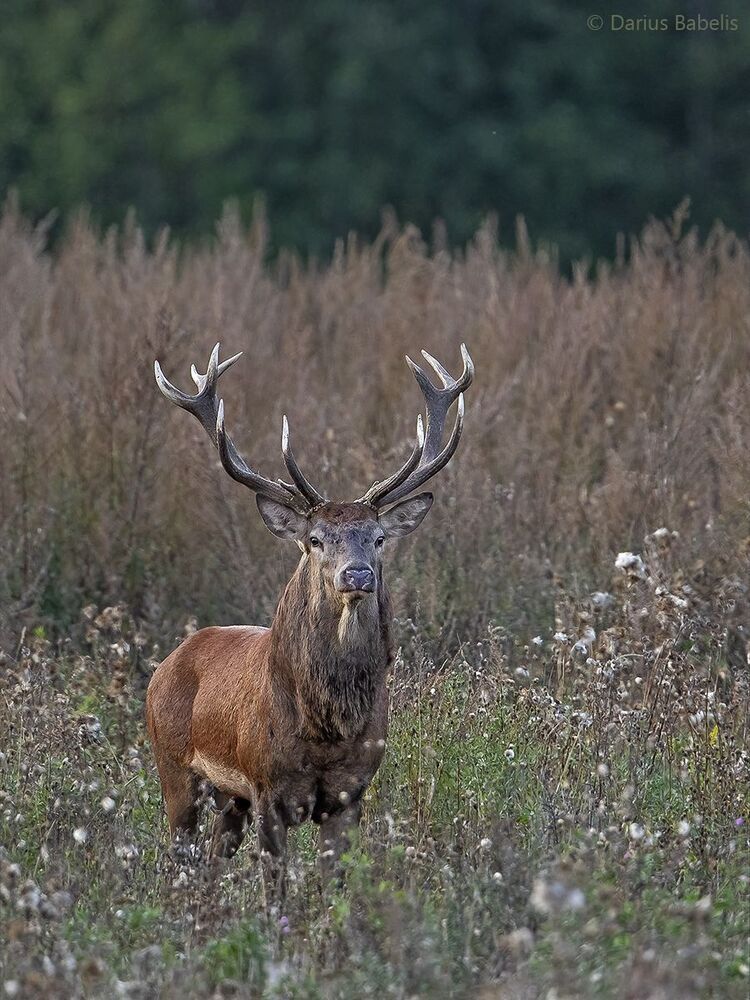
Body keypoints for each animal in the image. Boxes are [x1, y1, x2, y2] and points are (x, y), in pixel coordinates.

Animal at [146, 341, 473, 896]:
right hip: (175, 769)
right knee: (180, 860)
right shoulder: (266, 785)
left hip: (229, 799)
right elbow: (275, 887)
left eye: (378, 537)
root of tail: (166, 664)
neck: (325, 732)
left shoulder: (350, 793)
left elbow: (334, 885)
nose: (358, 574)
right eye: (316, 539)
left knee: (210, 863)